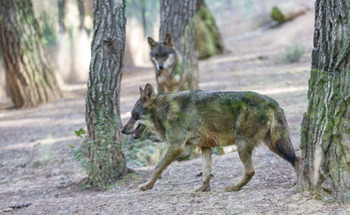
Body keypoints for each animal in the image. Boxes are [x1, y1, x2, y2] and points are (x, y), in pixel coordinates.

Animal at [121, 83, 300, 191]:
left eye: (134, 115)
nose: (122, 130)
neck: (166, 110)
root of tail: (272, 102)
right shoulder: (205, 147)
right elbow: (206, 172)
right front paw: (204, 189)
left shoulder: (176, 147)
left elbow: (157, 168)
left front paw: (147, 185)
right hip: (275, 145)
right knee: (297, 159)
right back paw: (298, 183)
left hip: (243, 145)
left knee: (251, 171)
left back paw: (234, 187)